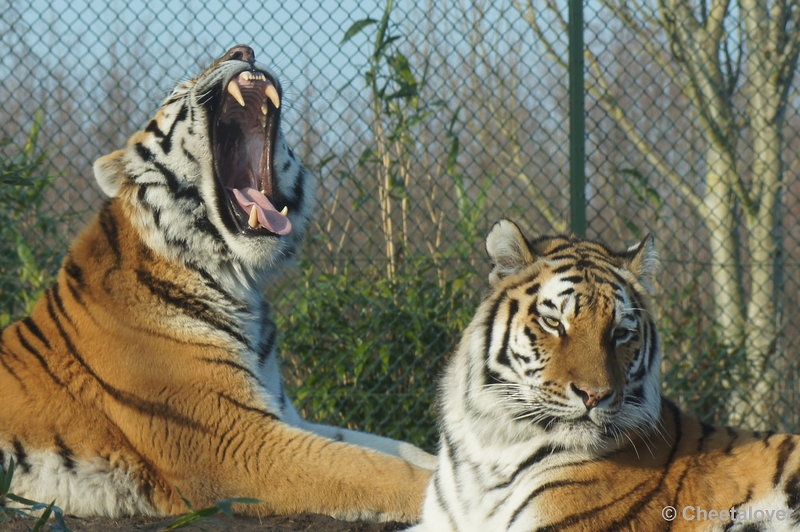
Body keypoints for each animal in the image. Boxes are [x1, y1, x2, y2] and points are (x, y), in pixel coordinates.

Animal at [0, 44, 434, 520]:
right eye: (178, 91)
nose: (242, 50)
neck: (237, 283)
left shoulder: (282, 416)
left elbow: (404, 450)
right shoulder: (236, 443)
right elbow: (379, 470)